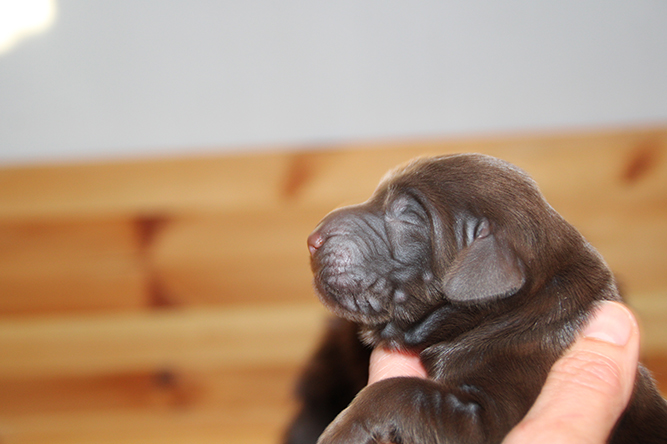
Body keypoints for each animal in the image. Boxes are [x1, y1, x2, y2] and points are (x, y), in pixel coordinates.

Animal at [283, 154, 667, 444]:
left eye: (408, 215)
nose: (312, 239)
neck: (514, 315)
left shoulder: (499, 415)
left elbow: (401, 392)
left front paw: (340, 430)